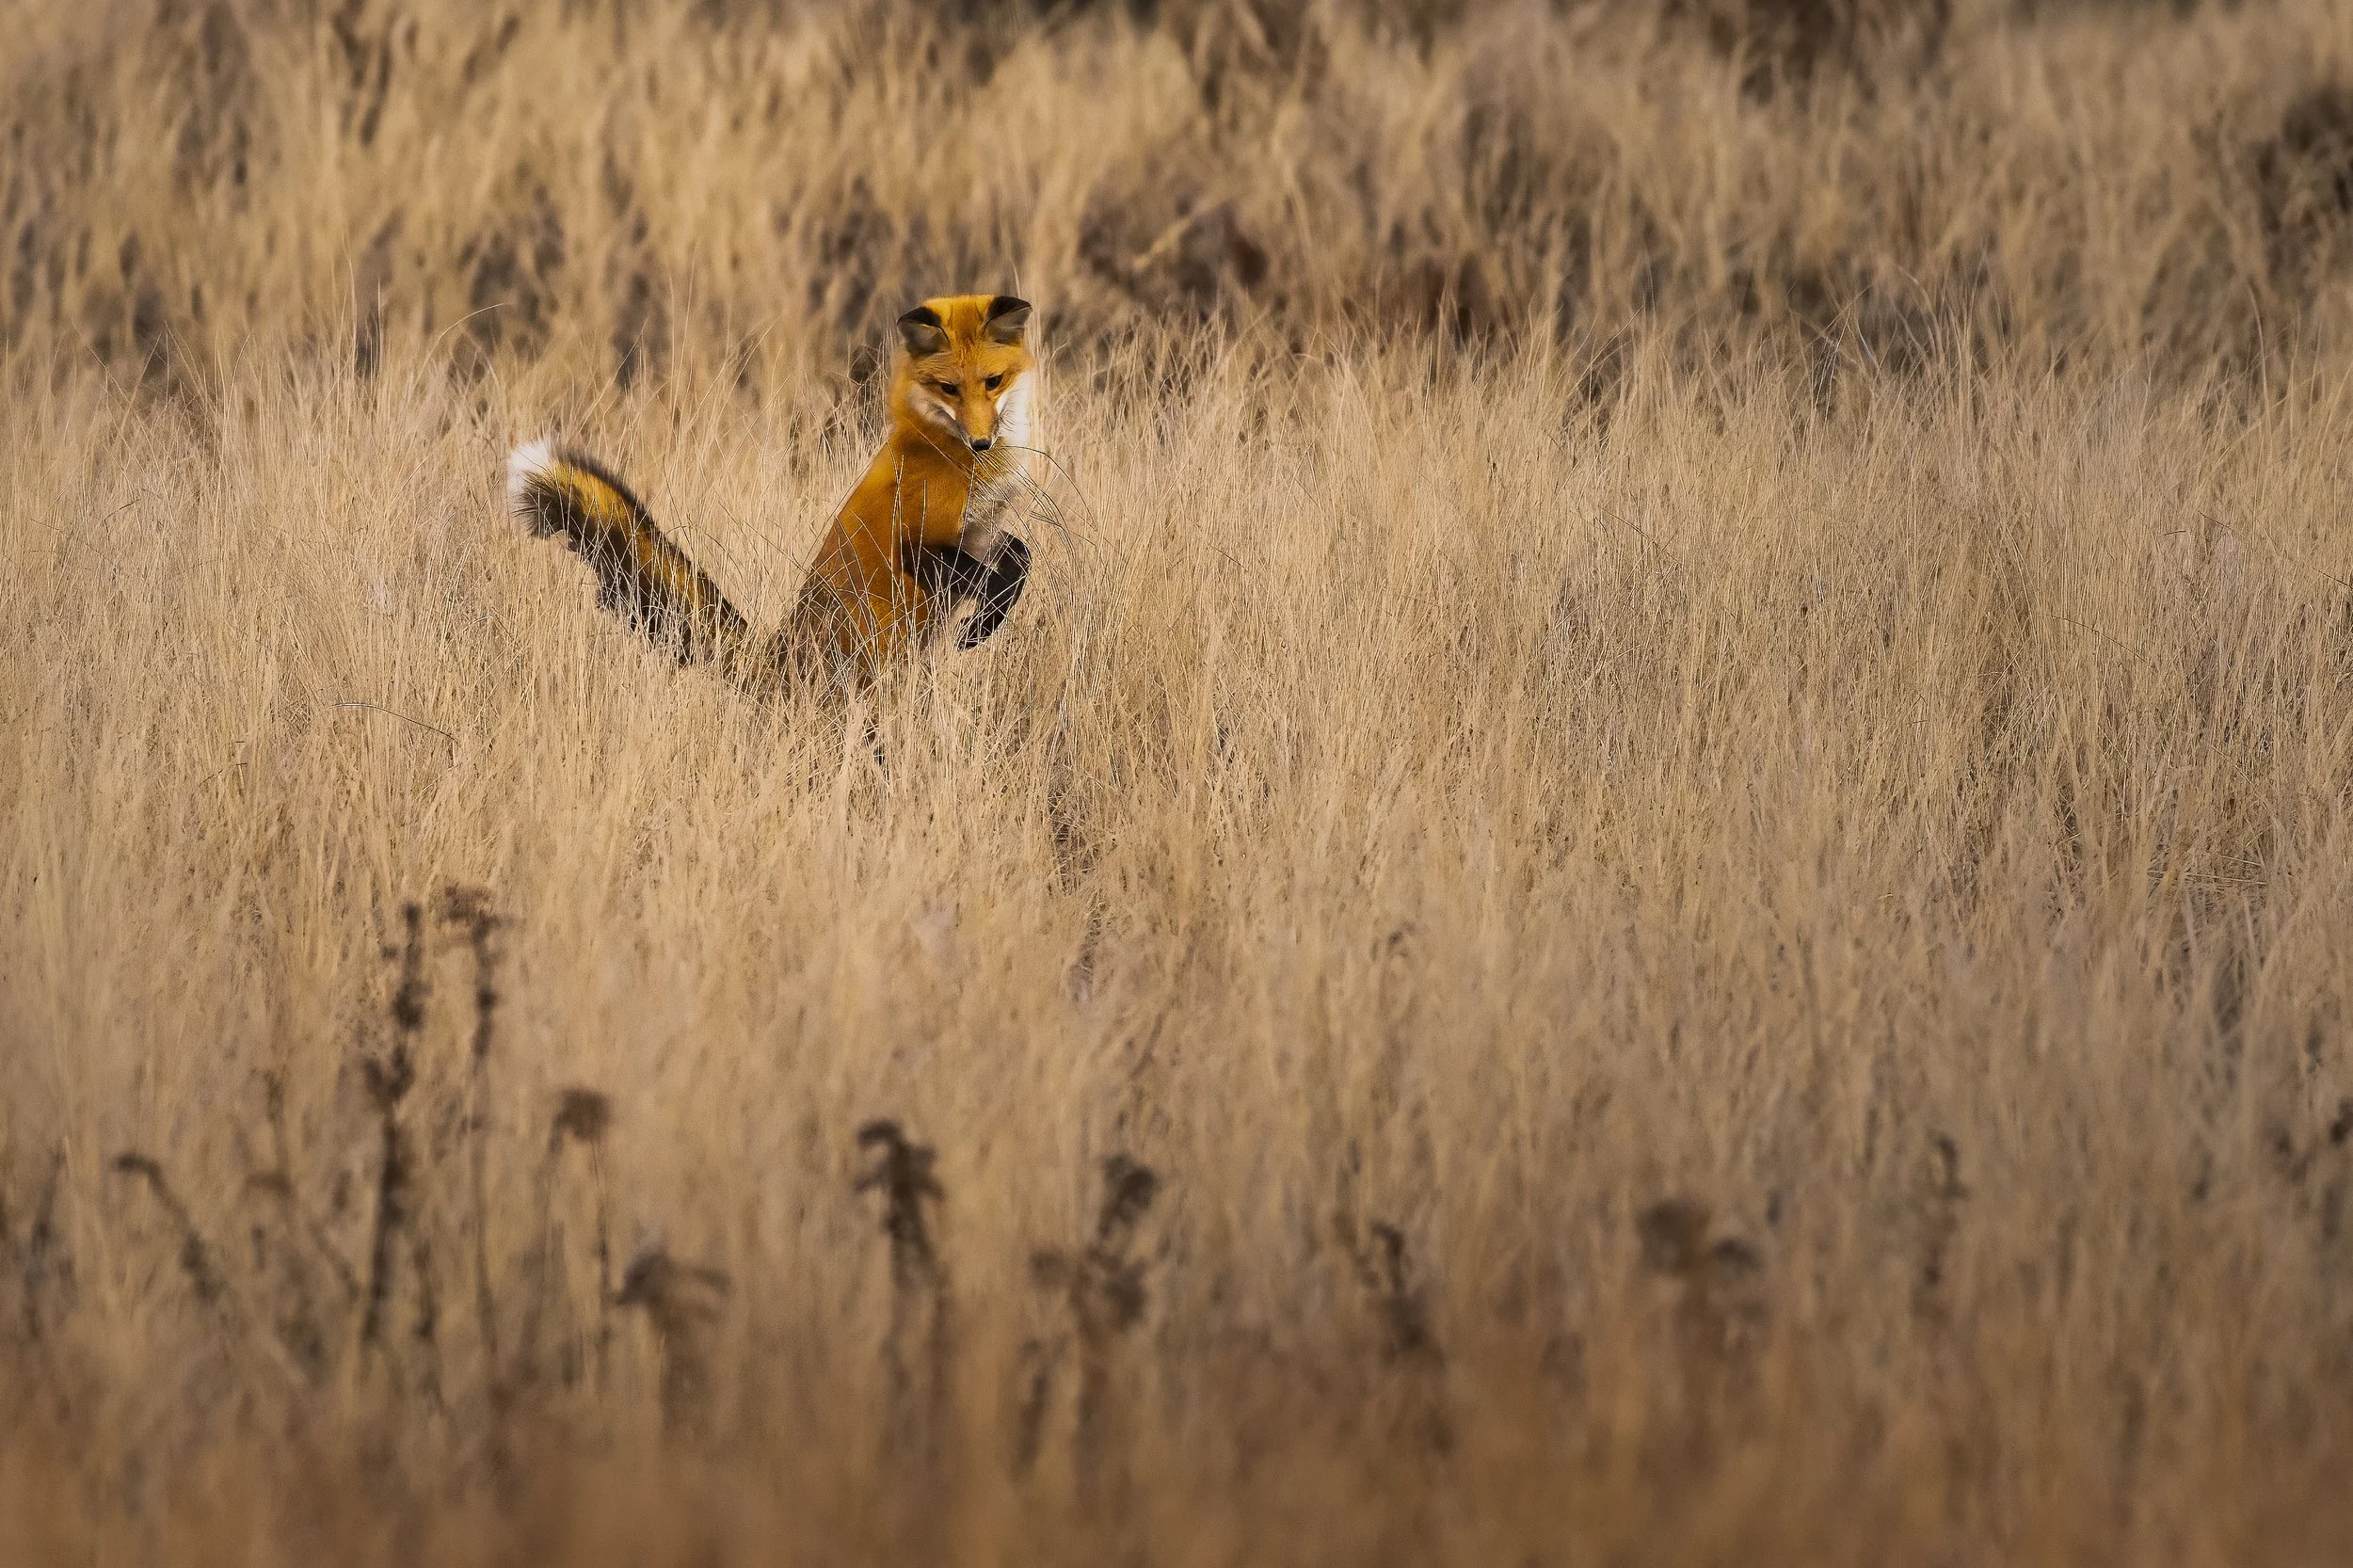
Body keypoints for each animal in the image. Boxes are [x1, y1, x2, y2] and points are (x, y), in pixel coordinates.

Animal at [504, 292, 1040, 697]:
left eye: (993, 382)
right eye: (949, 389)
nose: (980, 441)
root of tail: (770, 658)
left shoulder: (979, 530)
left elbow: (1019, 558)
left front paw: (988, 621)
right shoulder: (916, 541)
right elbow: (982, 572)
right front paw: (981, 624)